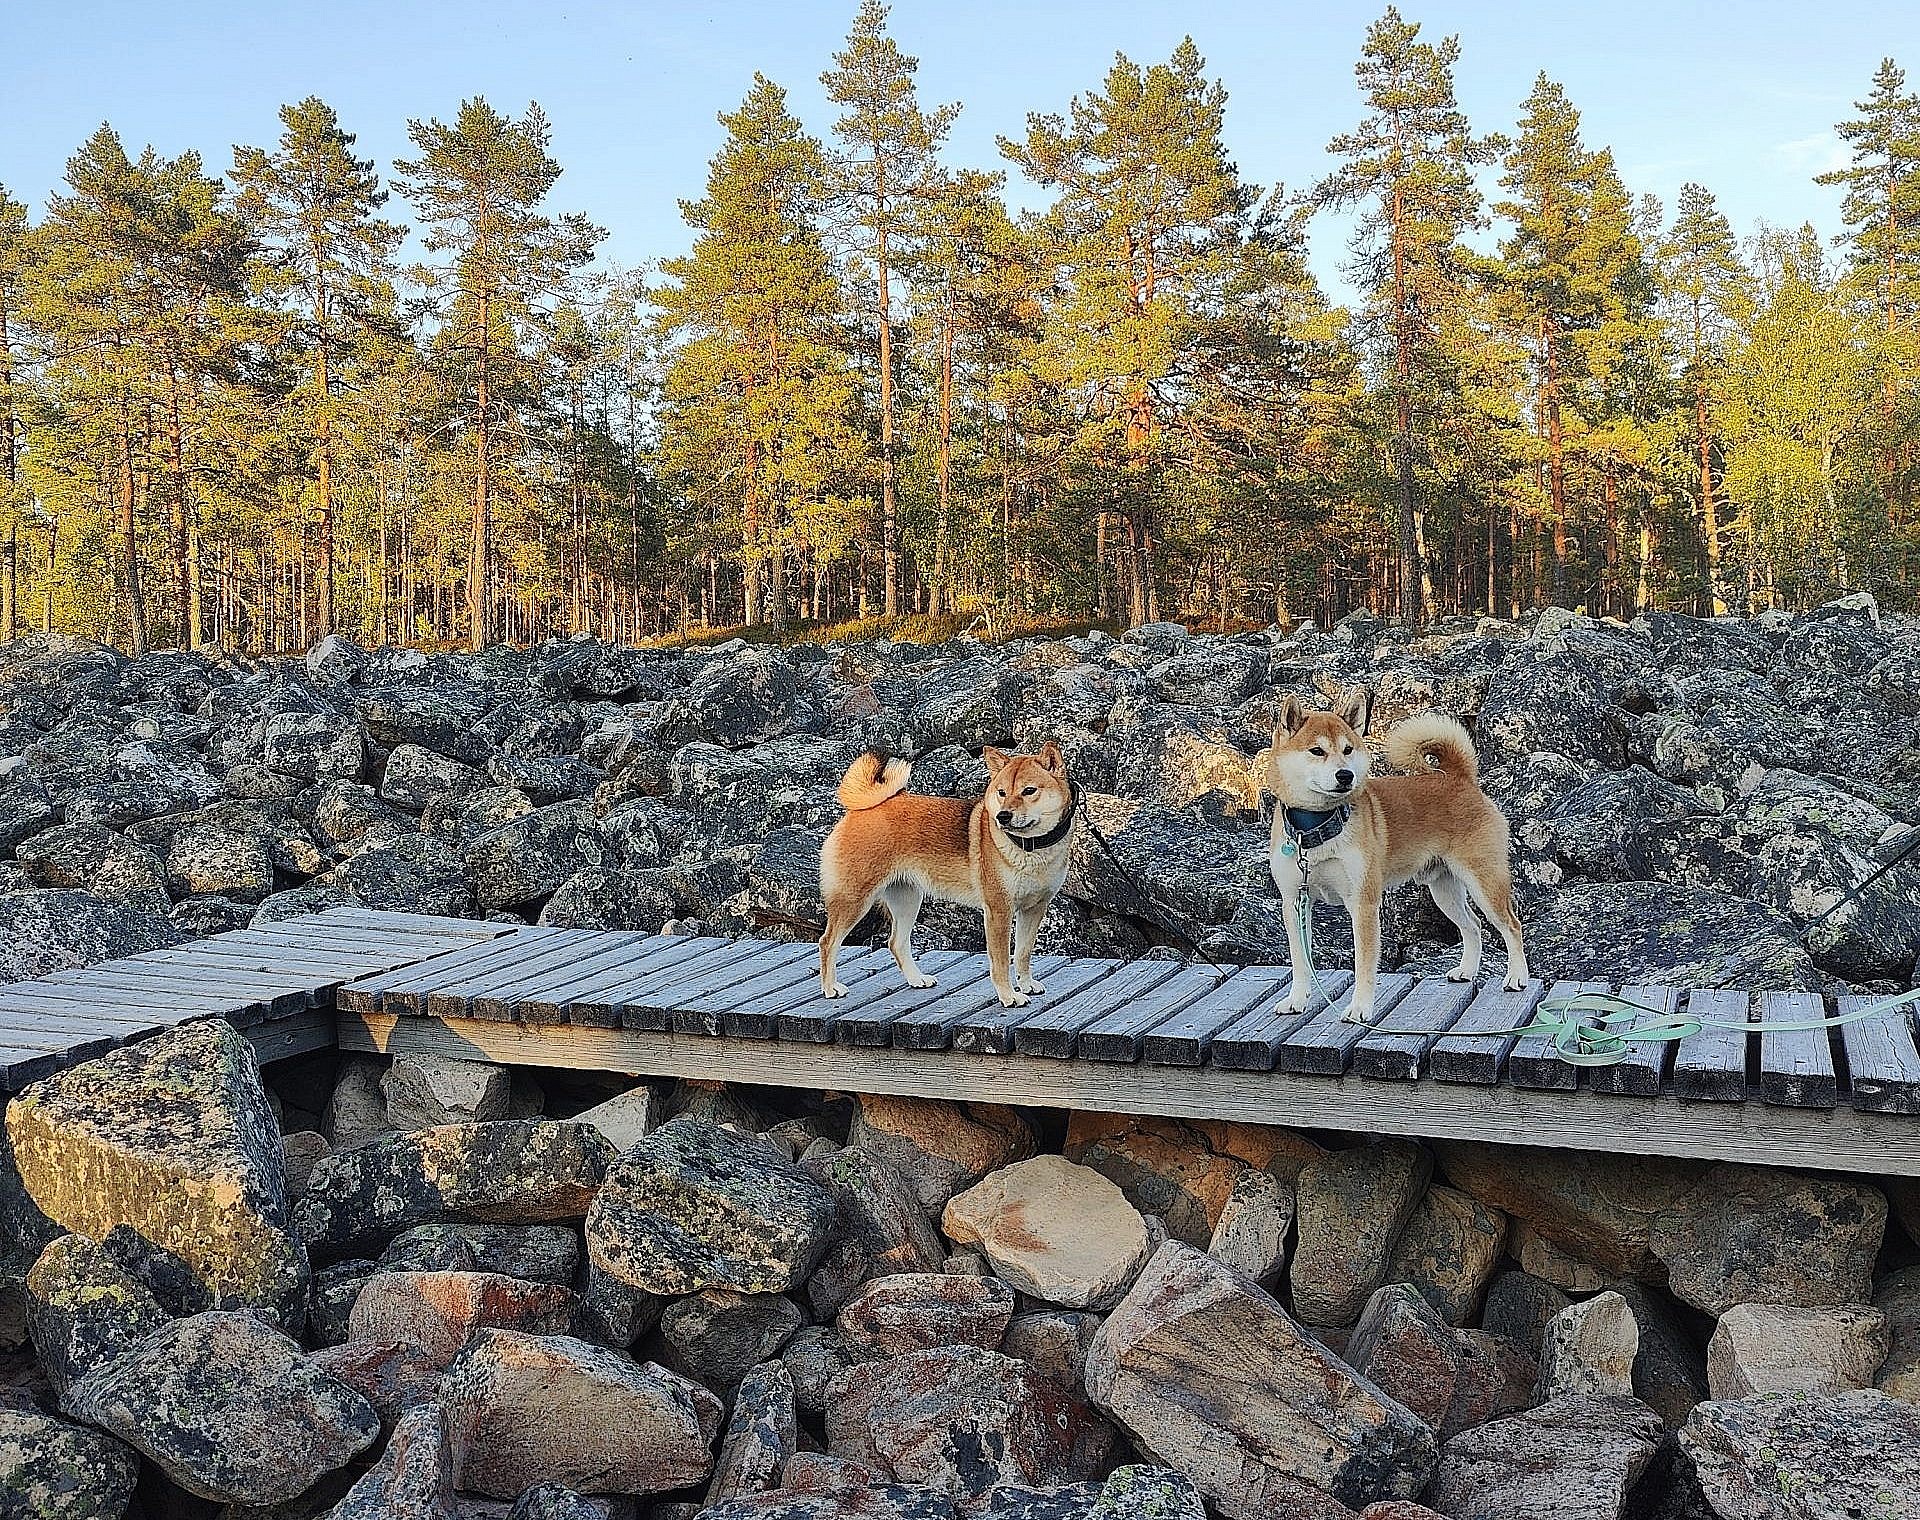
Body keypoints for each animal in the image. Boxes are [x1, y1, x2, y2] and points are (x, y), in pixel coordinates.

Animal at [814, 744, 1082, 1005]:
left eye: (1029, 791)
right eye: (1001, 793)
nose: (1003, 816)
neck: (1030, 847)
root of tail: (864, 808)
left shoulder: (1034, 908)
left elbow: (1023, 953)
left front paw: (1026, 984)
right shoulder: (999, 911)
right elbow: (1001, 962)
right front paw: (1009, 996)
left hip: (907, 900)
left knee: (896, 943)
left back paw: (916, 979)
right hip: (855, 901)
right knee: (827, 942)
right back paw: (830, 988)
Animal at [1259, 694, 1528, 1028]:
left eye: (1348, 750)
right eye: (1316, 750)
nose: (1345, 775)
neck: (1316, 827)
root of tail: (1459, 778)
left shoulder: (1363, 903)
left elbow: (1364, 964)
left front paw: (1360, 1008)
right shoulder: (1295, 901)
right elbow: (1300, 960)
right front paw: (1297, 1000)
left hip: (1485, 883)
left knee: (1511, 926)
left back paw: (1517, 977)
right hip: (1444, 890)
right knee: (1473, 925)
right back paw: (1466, 971)